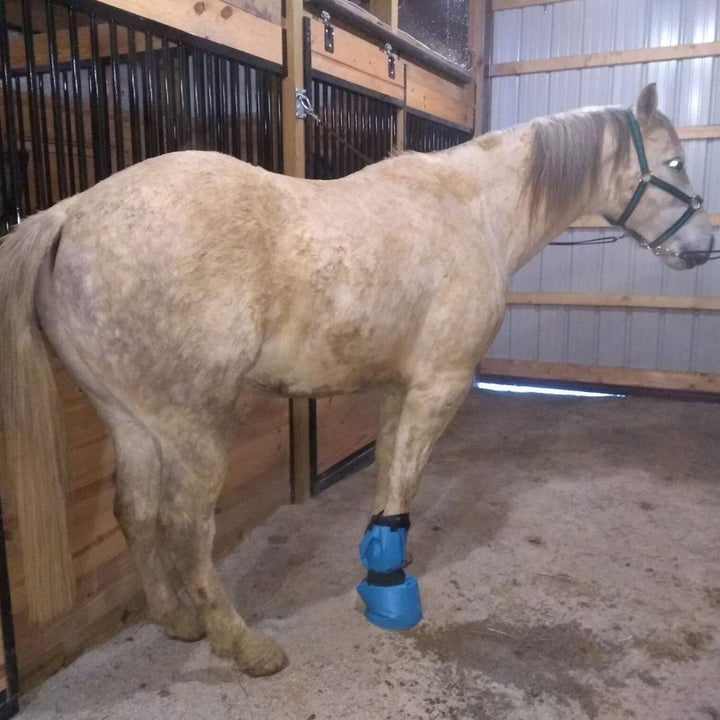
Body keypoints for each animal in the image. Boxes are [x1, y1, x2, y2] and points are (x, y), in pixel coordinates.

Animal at [0, 84, 714, 677]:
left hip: (129, 419)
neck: (473, 211)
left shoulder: (401, 388)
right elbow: (405, 480)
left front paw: (381, 565)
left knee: (135, 511)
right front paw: (393, 592)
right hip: (192, 424)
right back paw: (241, 643)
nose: (701, 248)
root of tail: (70, 213)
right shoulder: (439, 386)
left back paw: (176, 619)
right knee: (187, 525)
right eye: (675, 163)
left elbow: (388, 474)